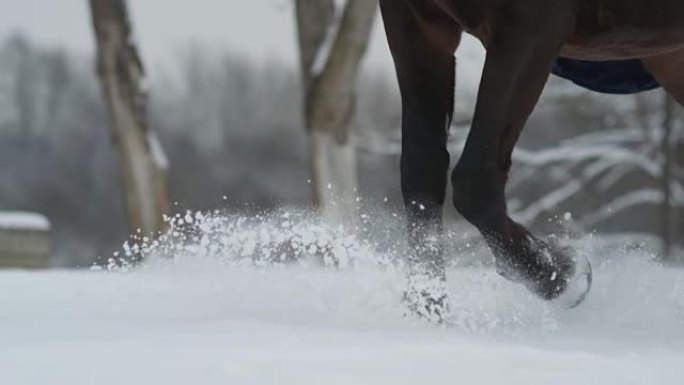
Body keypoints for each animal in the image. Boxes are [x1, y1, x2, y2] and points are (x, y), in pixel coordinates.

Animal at [382, 0, 684, 318]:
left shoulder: (531, 28)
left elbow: (475, 180)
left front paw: (561, 273)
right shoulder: (417, 24)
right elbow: (422, 171)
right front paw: (428, 306)